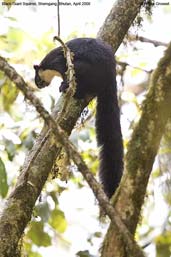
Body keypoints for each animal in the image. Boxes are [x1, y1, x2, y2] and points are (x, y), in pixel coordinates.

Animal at [34, 37, 123, 198]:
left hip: (84, 67)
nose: (38, 85)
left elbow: (65, 72)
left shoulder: (59, 62)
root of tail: (111, 72)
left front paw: (64, 84)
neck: (47, 65)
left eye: (37, 77)